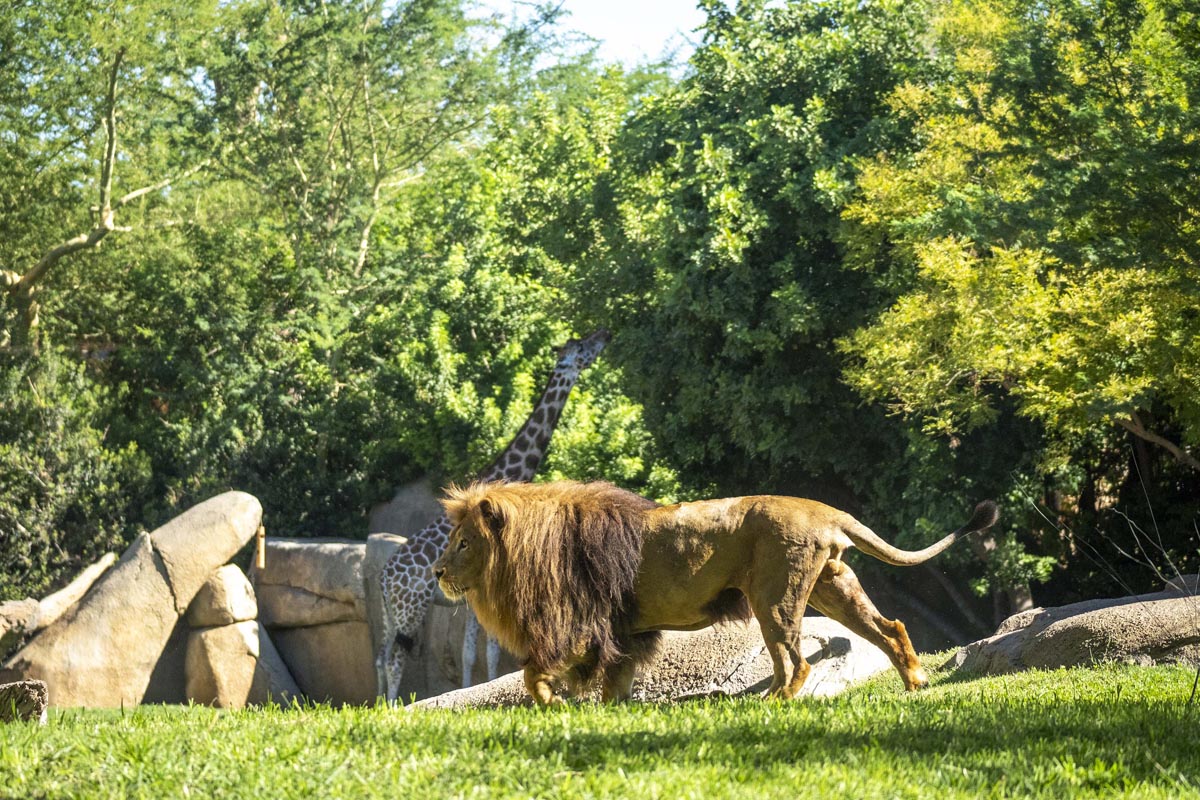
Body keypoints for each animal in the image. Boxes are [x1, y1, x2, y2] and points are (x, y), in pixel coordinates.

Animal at [377, 328, 610, 703]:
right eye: (582, 347)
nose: (605, 334)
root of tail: (384, 579)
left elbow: (473, 651)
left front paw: (470, 689)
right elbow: (488, 649)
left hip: (389, 613)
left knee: (380, 656)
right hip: (410, 608)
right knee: (395, 658)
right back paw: (393, 705)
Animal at [434, 480, 998, 705]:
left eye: (462, 542)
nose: (437, 571)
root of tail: (824, 510)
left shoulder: (579, 623)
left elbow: (535, 671)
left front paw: (553, 703)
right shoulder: (622, 632)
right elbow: (615, 680)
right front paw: (608, 710)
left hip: (775, 597)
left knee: (798, 661)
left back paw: (777, 702)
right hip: (831, 586)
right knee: (889, 628)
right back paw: (915, 682)